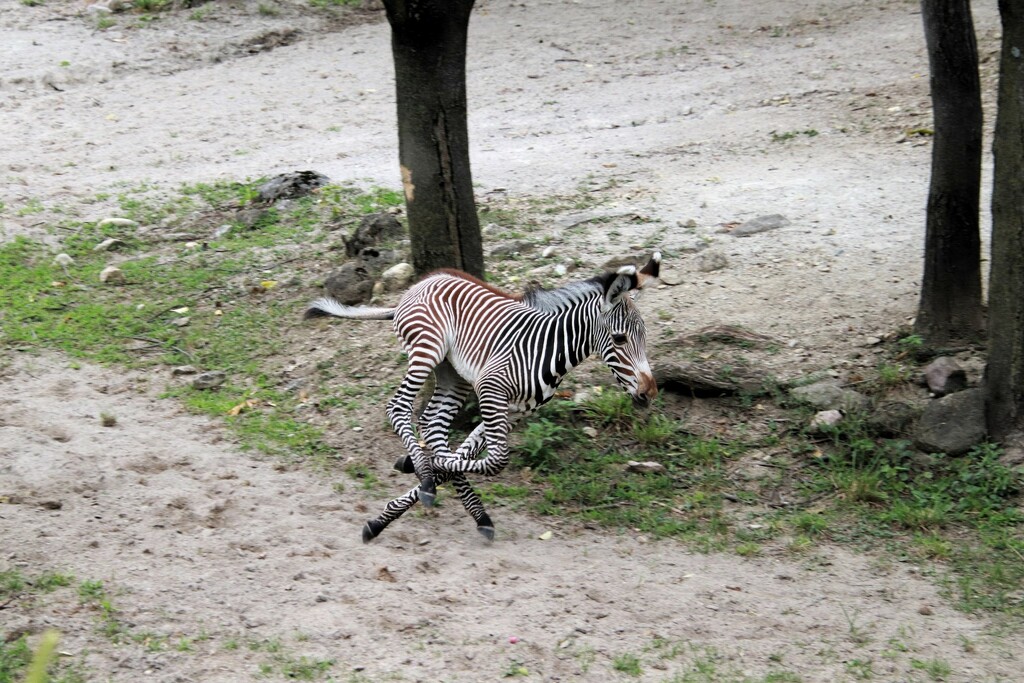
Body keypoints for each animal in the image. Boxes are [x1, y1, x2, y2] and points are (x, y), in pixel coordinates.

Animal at [303, 253, 659, 540]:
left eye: (644, 336)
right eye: (619, 338)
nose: (649, 393)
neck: (550, 349)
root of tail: (420, 284)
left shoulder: (516, 410)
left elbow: (469, 455)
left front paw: (399, 498)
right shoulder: (490, 389)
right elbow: (495, 460)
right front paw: (423, 470)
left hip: (453, 375)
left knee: (432, 424)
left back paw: (444, 488)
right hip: (427, 351)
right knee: (399, 407)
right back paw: (425, 474)